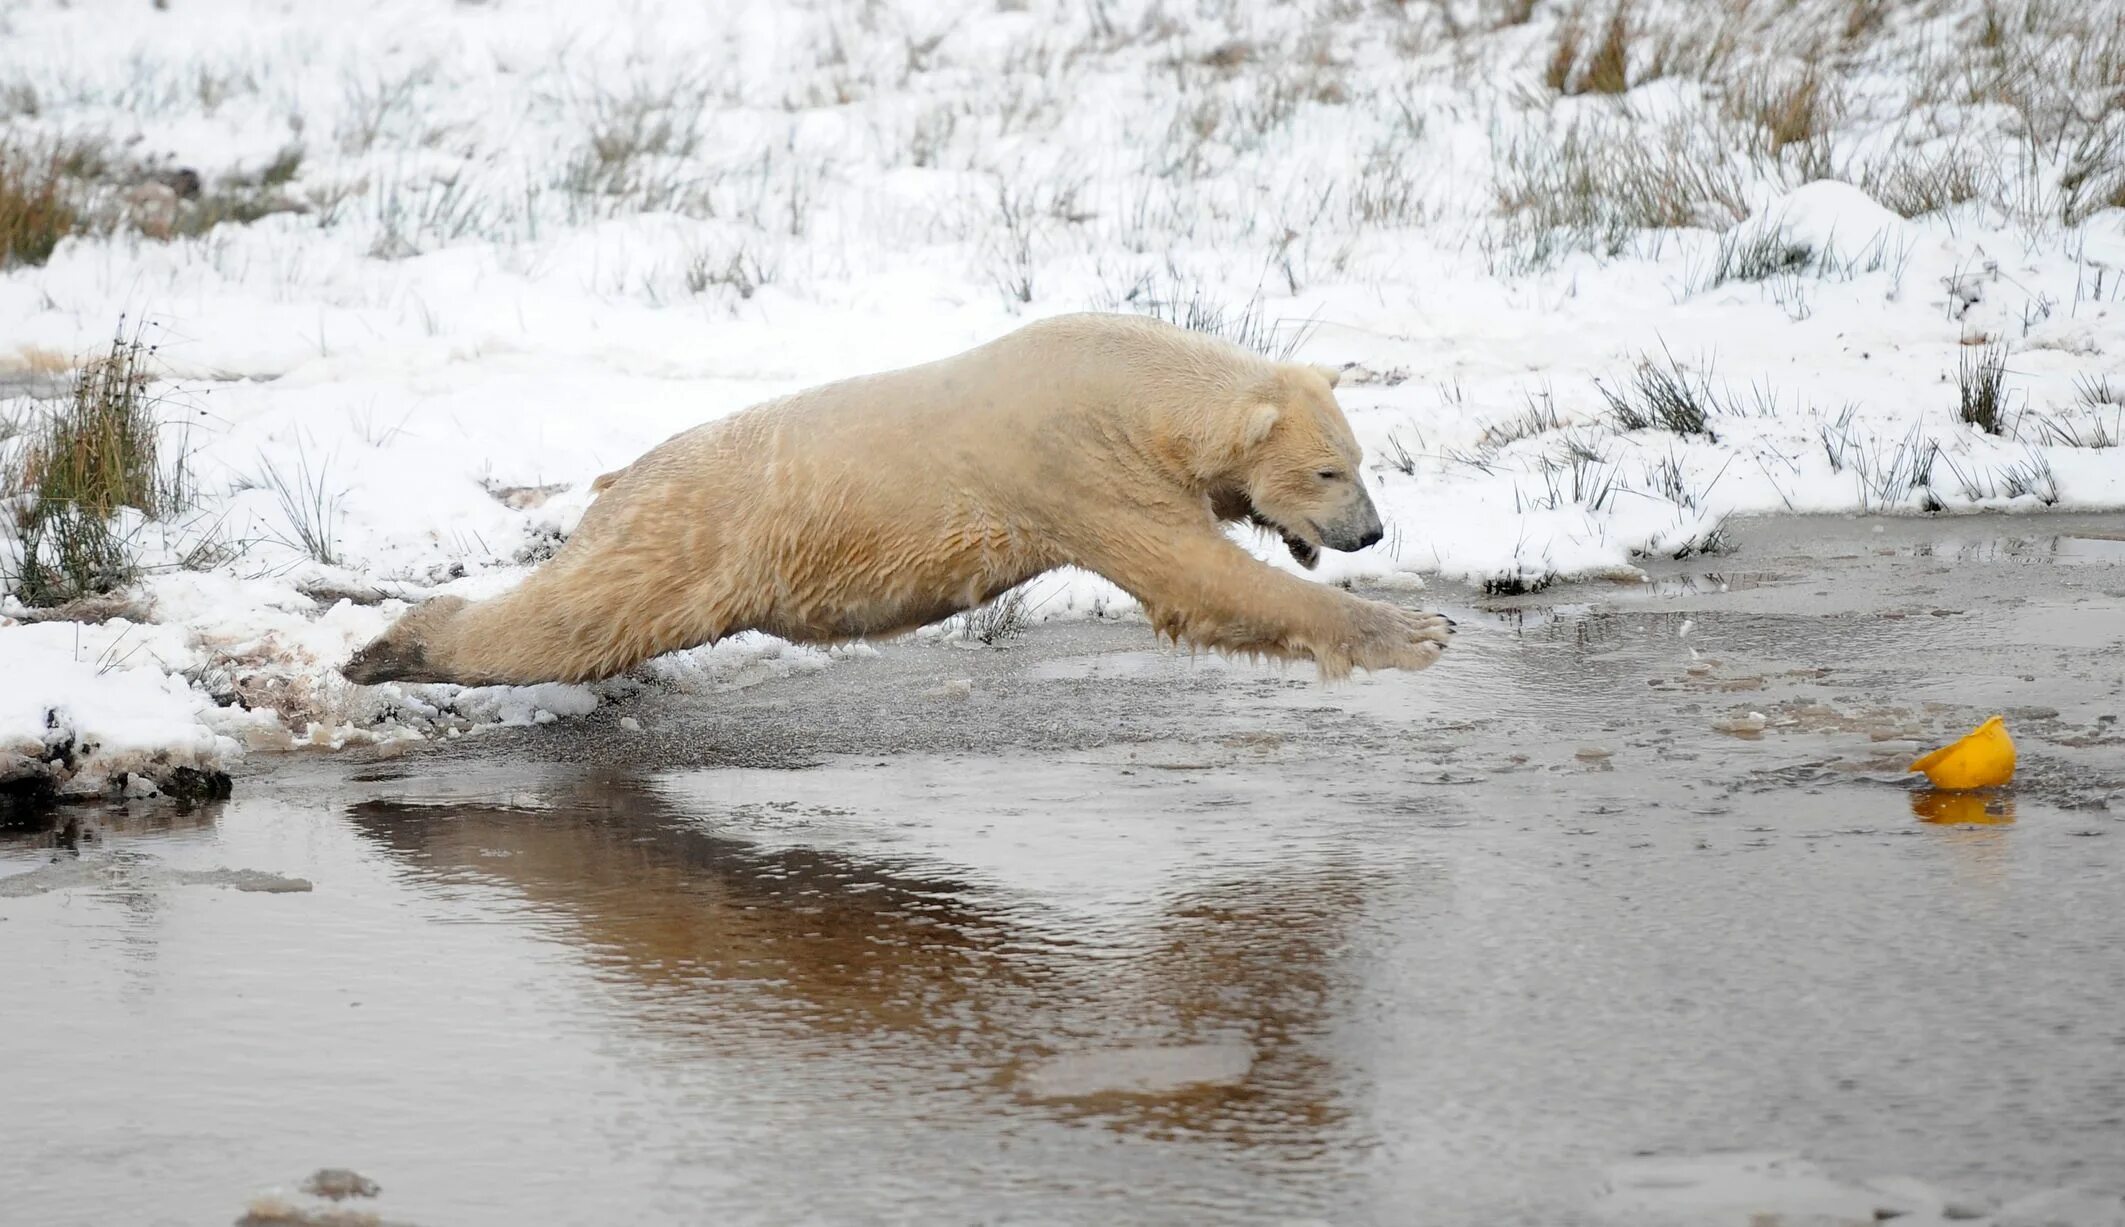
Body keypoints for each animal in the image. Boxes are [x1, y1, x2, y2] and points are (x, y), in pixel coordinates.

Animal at [340, 310, 1453, 684]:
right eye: (1331, 470)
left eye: (1359, 461)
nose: (1369, 532)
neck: (1131, 384)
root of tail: (630, 478)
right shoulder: (1075, 463)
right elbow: (1197, 578)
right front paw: (1419, 630)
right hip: (692, 536)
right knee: (574, 616)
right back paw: (388, 648)